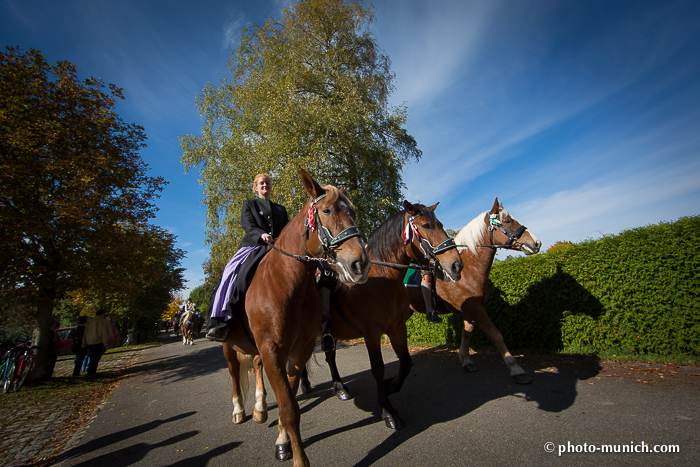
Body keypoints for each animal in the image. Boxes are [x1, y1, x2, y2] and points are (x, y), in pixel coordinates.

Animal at [223, 171, 372, 467]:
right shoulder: (271, 350)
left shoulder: (297, 351)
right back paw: (239, 410)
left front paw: (282, 442)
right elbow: (289, 408)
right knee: (234, 371)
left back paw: (259, 408)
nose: (360, 264)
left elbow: (288, 401)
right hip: (227, 345)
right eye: (327, 211)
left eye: (353, 212)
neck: (286, 282)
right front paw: (298, 458)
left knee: (253, 365)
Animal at [300, 201, 460, 432]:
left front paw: (390, 386)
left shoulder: (397, 328)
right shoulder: (372, 333)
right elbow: (378, 368)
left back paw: (339, 388)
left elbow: (406, 362)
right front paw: (388, 410)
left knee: (329, 357)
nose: (456, 264)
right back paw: (304, 384)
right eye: (426, 226)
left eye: (440, 224)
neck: (382, 280)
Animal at [404, 197, 540, 384]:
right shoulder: (476, 309)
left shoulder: (471, 309)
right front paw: (516, 369)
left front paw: (466, 361)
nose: (536, 242)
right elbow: (496, 334)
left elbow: (467, 334)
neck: (469, 267)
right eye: (507, 221)